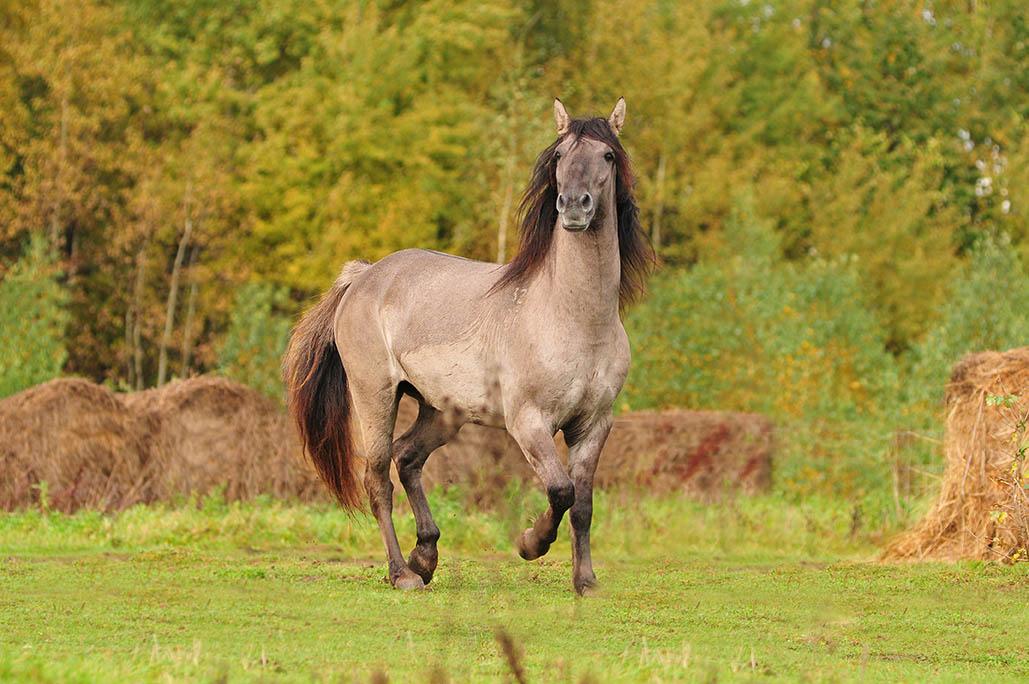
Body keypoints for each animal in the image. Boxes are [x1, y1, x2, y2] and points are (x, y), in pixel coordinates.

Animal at [281, 97, 650, 592]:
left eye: (608, 156)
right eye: (559, 156)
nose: (574, 206)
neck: (575, 319)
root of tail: (364, 276)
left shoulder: (594, 425)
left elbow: (584, 505)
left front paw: (586, 582)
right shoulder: (529, 423)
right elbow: (561, 491)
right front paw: (529, 543)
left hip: (439, 410)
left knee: (407, 458)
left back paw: (425, 556)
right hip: (375, 397)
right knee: (378, 479)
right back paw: (402, 573)